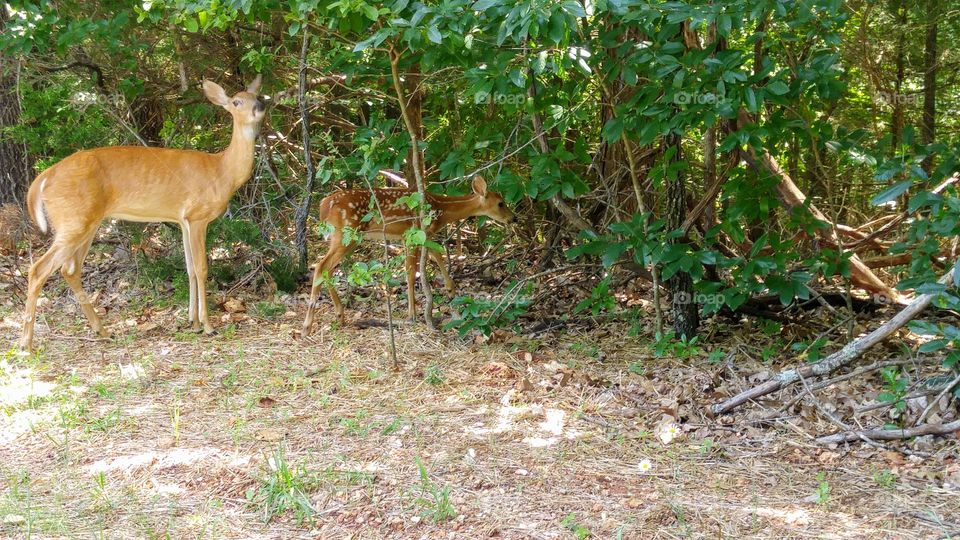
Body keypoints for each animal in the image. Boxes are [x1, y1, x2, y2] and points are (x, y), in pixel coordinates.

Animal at [18, 76, 265, 352]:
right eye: (236, 101)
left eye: (258, 96)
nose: (260, 107)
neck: (222, 172)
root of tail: (43, 178)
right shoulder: (197, 216)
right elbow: (202, 268)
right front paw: (208, 326)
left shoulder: (182, 220)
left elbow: (189, 268)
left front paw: (192, 322)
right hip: (73, 219)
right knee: (38, 269)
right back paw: (26, 344)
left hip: (85, 222)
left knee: (69, 270)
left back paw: (102, 331)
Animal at [301, 175, 516, 336]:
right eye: (500, 203)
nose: (514, 218)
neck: (441, 209)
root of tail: (324, 206)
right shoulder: (413, 232)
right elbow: (412, 272)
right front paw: (412, 314)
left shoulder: (422, 235)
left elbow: (436, 255)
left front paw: (450, 289)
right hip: (347, 232)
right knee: (321, 266)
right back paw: (307, 327)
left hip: (342, 237)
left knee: (327, 269)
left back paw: (340, 315)